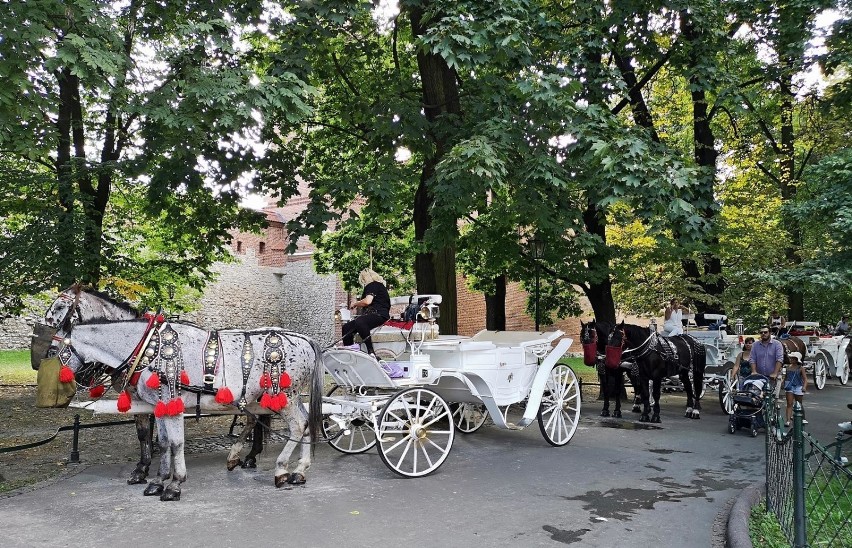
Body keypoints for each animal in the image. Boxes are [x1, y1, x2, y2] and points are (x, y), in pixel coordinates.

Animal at [55, 316, 324, 500]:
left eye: (56, 348)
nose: (77, 381)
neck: (149, 349)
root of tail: (306, 340)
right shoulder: (159, 406)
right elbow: (164, 442)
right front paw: (158, 481)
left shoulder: (170, 403)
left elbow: (175, 443)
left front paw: (174, 484)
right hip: (286, 397)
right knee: (306, 424)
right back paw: (299, 471)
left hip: (285, 396)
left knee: (298, 426)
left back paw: (281, 470)